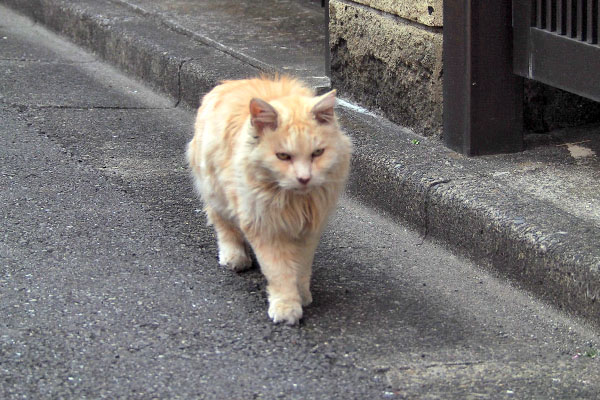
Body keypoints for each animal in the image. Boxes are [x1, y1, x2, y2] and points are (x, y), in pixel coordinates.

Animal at [185, 76, 350, 324]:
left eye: (317, 153)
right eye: (283, 156)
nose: (304, 178)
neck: (294, 201)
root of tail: (232, 82)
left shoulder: (309, 230)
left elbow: (301, 268)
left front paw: (302, 295)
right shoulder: (264, 227)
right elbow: (279, 271)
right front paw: (286, 307)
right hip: (216, 193)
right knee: (224, 226)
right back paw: (235, 257)